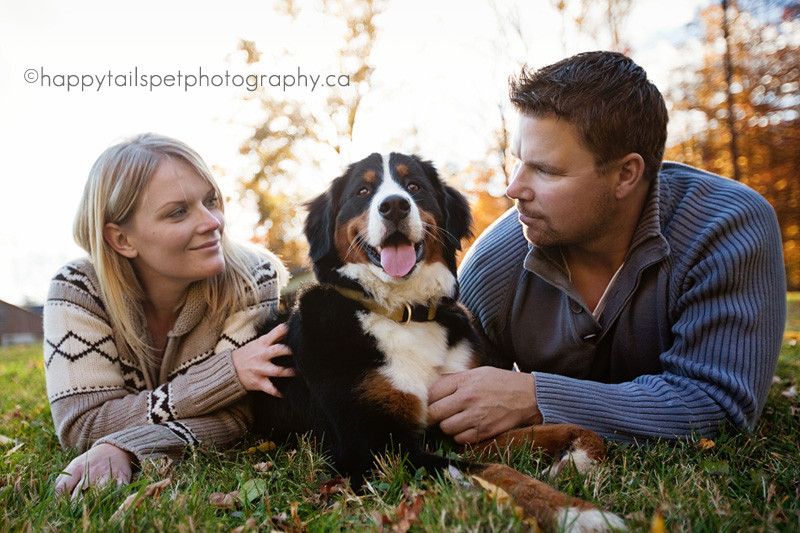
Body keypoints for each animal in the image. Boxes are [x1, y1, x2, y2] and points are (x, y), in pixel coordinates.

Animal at [253, 152, 628, 528]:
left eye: (414, 186)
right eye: (363, 190)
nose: (394, 205)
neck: (403, 312)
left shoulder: (456, 422)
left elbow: (575, 430)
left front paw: (576, 462)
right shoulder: (375, 450)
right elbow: (498, 471)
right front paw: (577, 513)